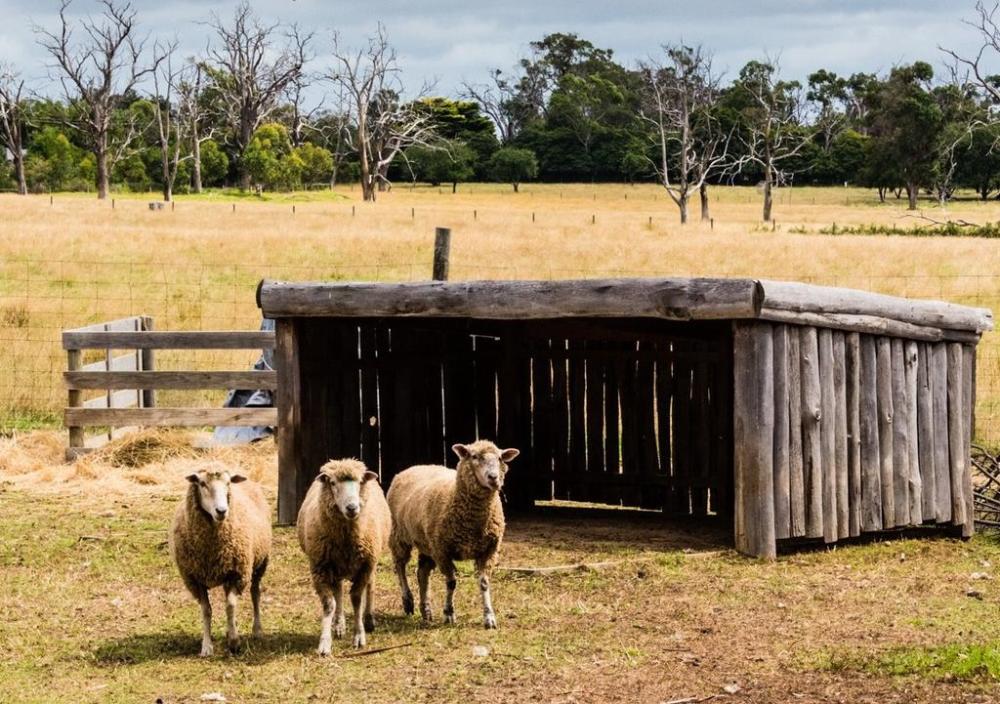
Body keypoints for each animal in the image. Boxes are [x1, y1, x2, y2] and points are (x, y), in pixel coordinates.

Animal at [168, 464, 272, 656]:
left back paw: (257, 630)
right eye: (202, 483)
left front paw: (234, 642)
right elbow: (206, 611)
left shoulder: (236, 574)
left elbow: (230, 605)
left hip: (259, 563)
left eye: (228, 483)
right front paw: (207, 646)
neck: (211, 549)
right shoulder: (196, 579)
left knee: (255, 593)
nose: (222, 511)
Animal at [294, 460, 392, 652]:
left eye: (360, 481)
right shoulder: (320, 568)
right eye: (332, 483)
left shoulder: (365, 566)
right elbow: (329, 603)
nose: (352, 508)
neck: (346, 539)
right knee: (338, 591)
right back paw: (339, 625)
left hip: (371, 562)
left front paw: (359, 636)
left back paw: (369, 619)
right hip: (336, 566)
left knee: (371, 586)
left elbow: (356, 599)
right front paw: (325, 641)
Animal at [386, 442, 520, 628]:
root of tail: (415, 466)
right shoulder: (443, 551)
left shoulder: (488, 551)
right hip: (400, 536)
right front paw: (449, 614)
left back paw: (426, 610)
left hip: (427, 543)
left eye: (500, 458)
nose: (493, 478)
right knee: (400, 567)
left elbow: (484, 583)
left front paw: (489, 617)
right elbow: (451, 582)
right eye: (474, 456)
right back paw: (408, 602)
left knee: (422, 573)